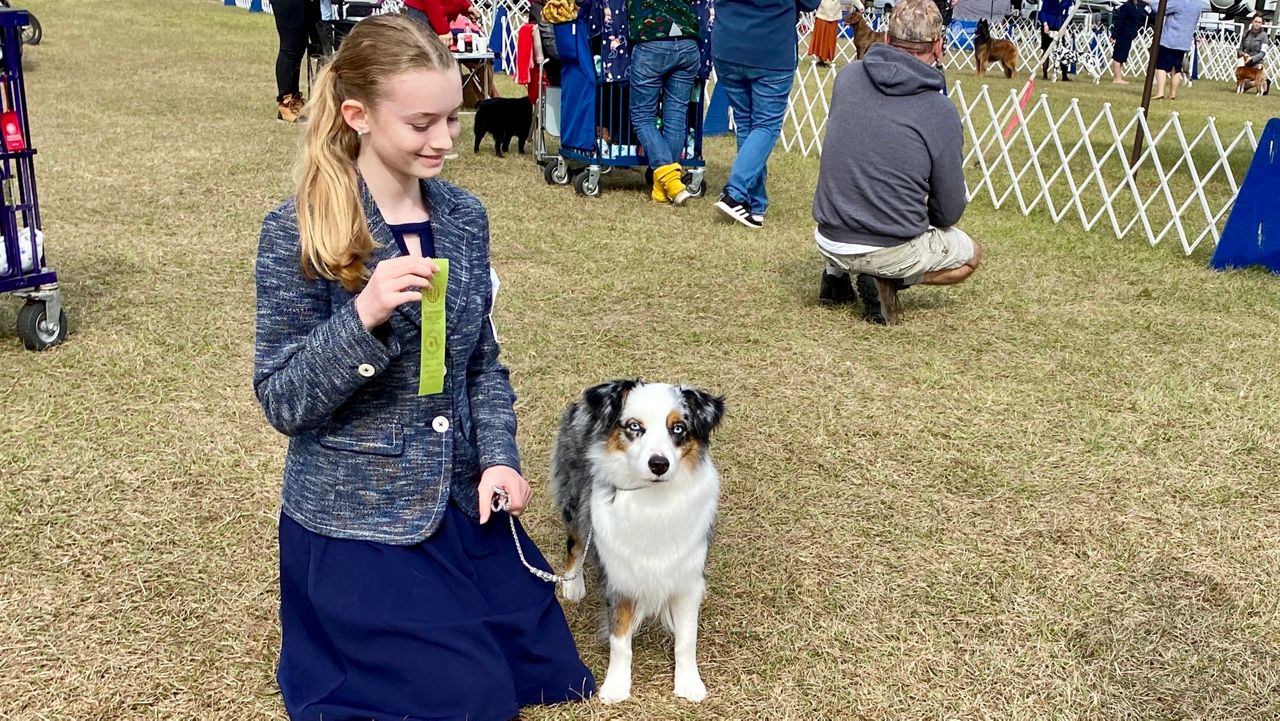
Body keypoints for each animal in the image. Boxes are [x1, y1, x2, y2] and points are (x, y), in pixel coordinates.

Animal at [547, 379, 727, 706]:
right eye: (634, 426)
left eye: (678, 428)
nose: (659, 464)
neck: (654, 500)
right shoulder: (621, 579)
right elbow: (620, 641)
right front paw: (616, 687)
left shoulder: (687, 577)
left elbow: (686, 639)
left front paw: (689, 683)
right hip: (574, 499)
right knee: (576, 543)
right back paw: (573, 584)